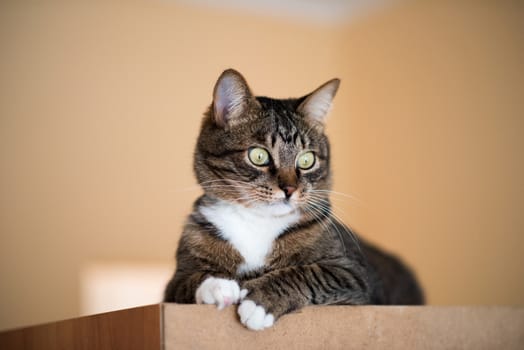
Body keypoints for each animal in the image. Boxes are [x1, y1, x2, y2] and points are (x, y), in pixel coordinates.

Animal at [164, 68, 426, 330]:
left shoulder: (355, 276)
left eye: (307, 160)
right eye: (258, 156)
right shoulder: (173, 285)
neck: (257, 222)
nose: (289, 189)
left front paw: (260, 301)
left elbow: (310, 273)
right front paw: (217, 284)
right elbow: (186, 282)